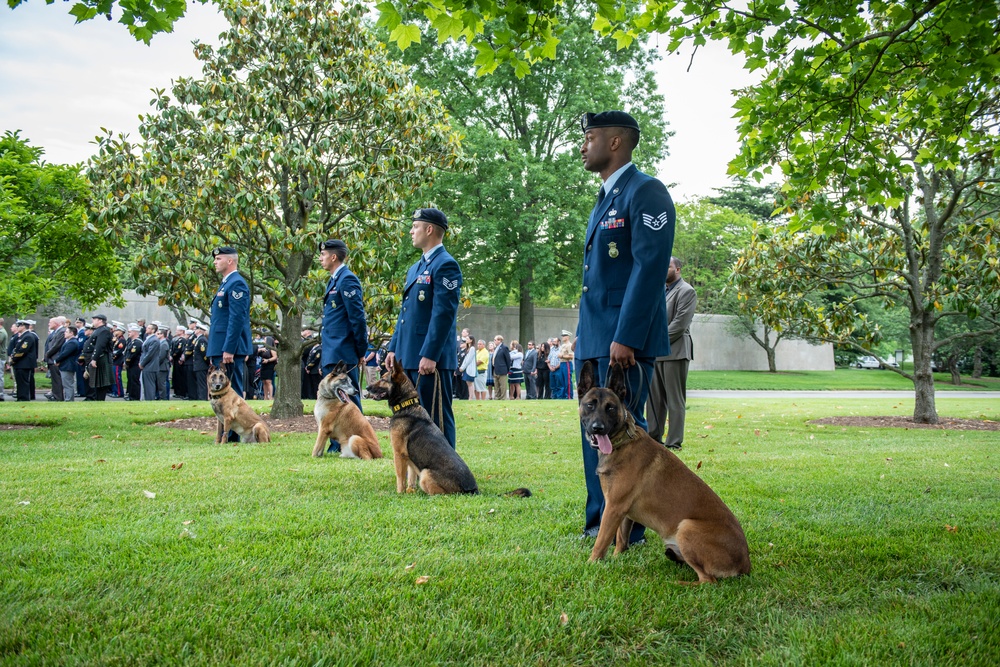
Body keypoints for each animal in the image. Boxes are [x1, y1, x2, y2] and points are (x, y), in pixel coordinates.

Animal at [364, 366, 480, 496]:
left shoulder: (399, 453)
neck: (407, 406)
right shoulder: (408, 458)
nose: (367, 388)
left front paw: (400, 493)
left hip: (425, 474)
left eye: (383, 379)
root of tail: (472, 489)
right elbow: (411, 476)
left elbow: (400, 478)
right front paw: (410, 490)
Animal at [576, 360, 748, 584]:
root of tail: (746, 564)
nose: (598, 428)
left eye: (611, 408)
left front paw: (591, 564)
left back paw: (678, 583)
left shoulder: (613, 508)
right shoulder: (623, 511)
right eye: (590, 405)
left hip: (686, 528)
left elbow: (601, 541)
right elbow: (621, 540)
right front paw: (617, 560)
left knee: (708, 581)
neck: (622, 441)